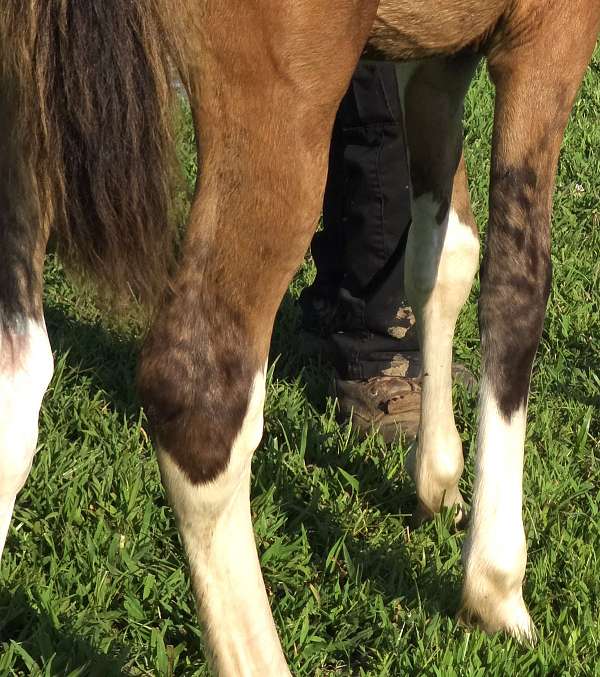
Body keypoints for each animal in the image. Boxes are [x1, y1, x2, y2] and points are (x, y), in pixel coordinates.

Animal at [0, 1, 598, 674]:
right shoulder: (548, 34)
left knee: (17, 385)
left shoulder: (436, 56)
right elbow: (516, 287)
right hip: (279, 120)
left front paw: (437, 473)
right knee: (202, 398)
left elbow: (441, 259)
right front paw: (495, 583)